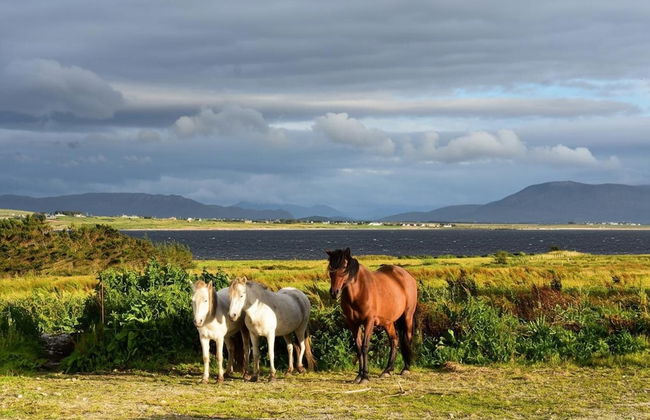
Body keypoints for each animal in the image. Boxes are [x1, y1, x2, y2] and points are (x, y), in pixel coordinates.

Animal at [326, 247, 417, 384]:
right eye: (330, 268)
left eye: (344, 267)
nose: (334, 292)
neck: (358, 292)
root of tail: (407, 275)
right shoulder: (353, 324)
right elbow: (358, 348)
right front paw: (359, 376)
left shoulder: (368, 321)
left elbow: (365, 347)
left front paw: (365, 377)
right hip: (388, 322)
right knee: (394, 340)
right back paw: (387, 370)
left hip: (407, 316)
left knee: (408, 338)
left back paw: (406, 369)